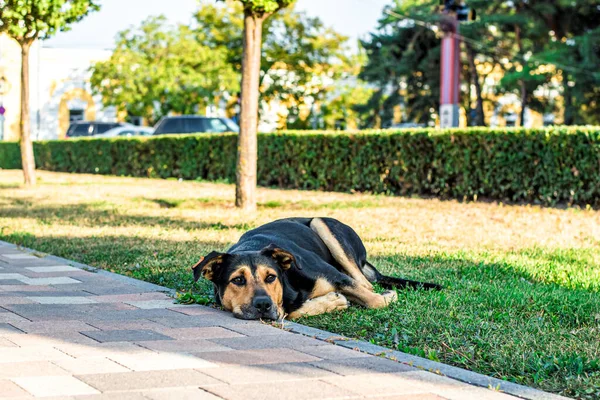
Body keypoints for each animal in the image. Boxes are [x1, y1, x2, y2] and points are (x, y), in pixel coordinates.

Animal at [192, 217, 440, 320]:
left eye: (271, 277)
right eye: (238, 280)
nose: (263, 304)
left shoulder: (337, 276)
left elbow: (374, 300)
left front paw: (388, 297)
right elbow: (290, 312)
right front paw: (332, 302)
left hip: (321, 223)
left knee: (366, 284)